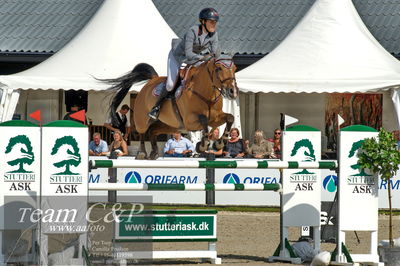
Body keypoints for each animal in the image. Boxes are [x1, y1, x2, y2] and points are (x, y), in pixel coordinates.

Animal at [104, 57, 239, 159]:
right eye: (219, 68)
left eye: (235, 69)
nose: (233, 91)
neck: (206, 94)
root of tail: (152, 80)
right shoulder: (190, 121)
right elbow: (203, 120)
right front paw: (203, 145)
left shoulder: (215, 119)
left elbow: (230, 118)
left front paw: (219, 143)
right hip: (142, 118)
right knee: (143, 131)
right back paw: (142, 153)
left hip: (170, 125)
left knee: (153, 131)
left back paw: (154, 152)